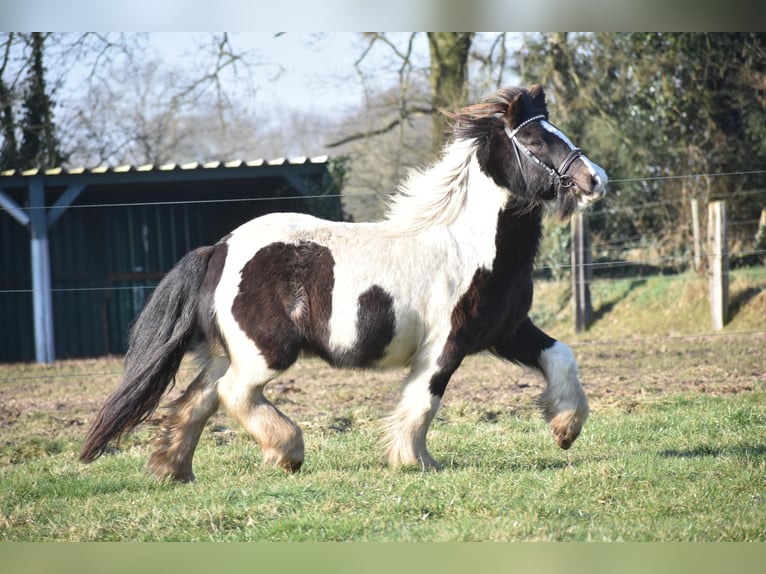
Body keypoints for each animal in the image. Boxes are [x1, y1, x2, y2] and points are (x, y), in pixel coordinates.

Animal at [81, 84, 608, 482]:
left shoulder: (507, 330)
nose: (596, 179)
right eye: (536, 142)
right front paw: (414, 461)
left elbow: (562, 355)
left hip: (225, 351)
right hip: (264, 353)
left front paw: (565, 428)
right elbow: (424, 401)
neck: (468, 243)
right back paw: (286, 453)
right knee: (233, 394)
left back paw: (173, 470)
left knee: (197, 400)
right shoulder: (446, 344)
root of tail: (220, 249)